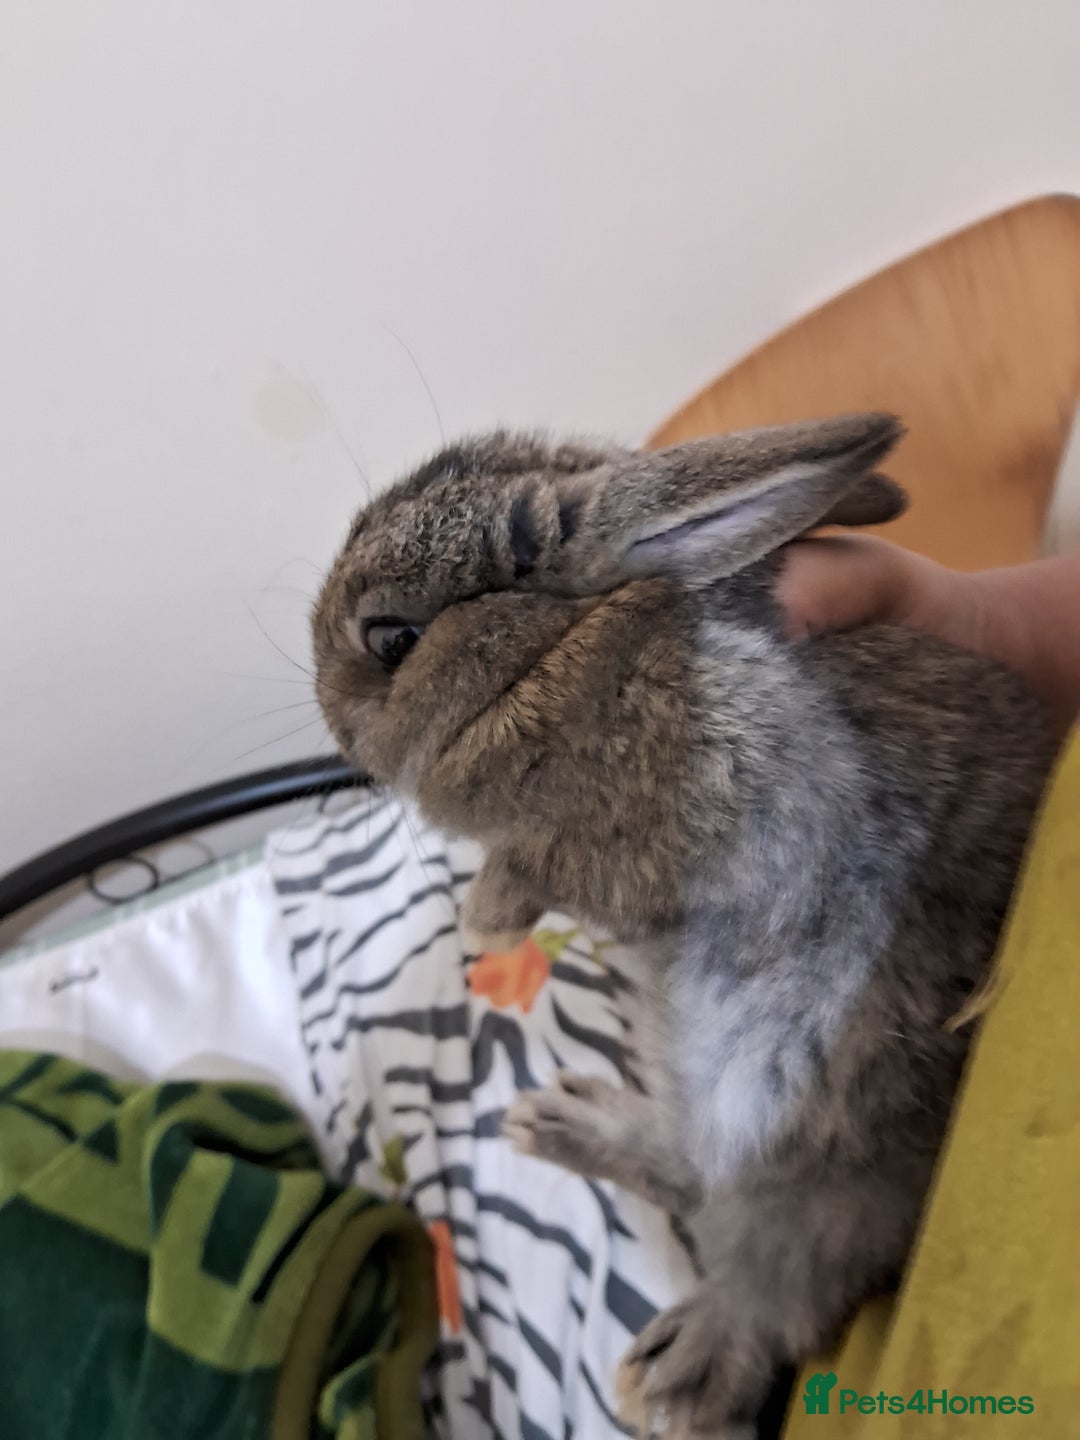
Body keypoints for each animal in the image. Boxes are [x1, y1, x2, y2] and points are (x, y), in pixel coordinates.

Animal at [312, 415, 1055, 1438]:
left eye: (392, 637)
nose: (333, 724)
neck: (562, 647)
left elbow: (534, 869)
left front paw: (482, 922)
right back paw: (563, 1121)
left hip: (806, 1117)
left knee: (776, 1264)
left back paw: (679, 1371)